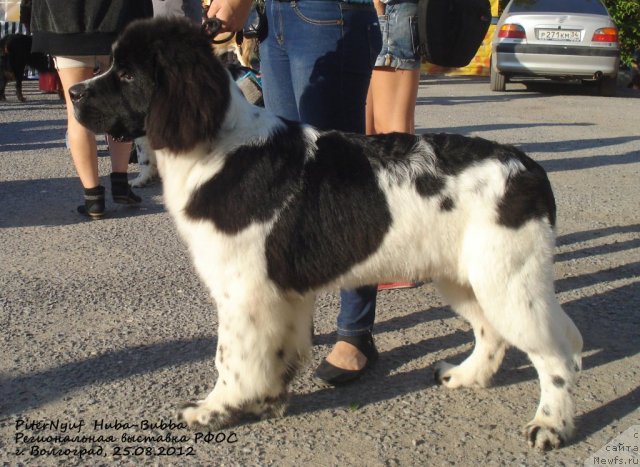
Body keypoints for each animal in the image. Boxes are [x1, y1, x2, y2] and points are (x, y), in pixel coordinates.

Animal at [71, 17, 584, 450]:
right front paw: (266, 401)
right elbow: (273, 350)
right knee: (492, 332)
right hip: (466, 277)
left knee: (556, 356)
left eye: (128, 76)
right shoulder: (281, 293)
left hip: (508, 281)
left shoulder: (243, 290)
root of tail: (528, 167)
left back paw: (550, 425)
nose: (74, 91)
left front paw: (214, 409)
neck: (217, 146)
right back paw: (465, 376)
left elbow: (228, 356)